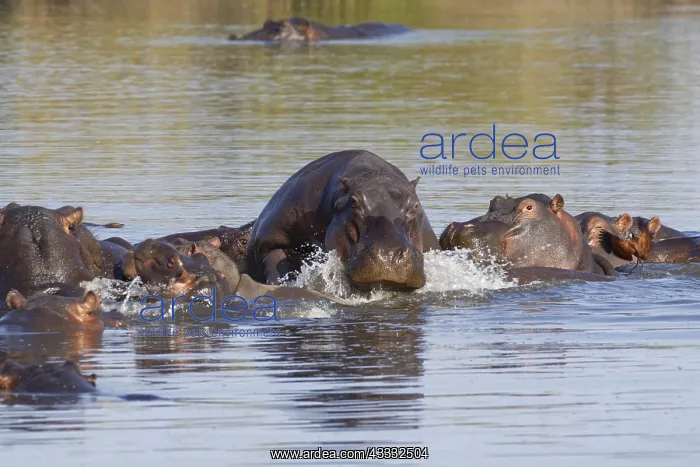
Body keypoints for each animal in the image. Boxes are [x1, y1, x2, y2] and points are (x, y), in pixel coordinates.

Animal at [245, 150, 440, 290]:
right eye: (353, 202)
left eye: (415, 205)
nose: (389, 255)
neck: (373, 176)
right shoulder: (269, 239)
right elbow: (276, 260)